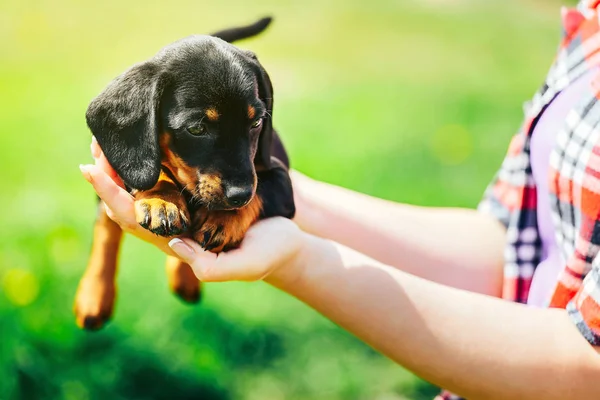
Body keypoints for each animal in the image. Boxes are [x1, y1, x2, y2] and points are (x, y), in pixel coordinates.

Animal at [75, 17, 296, 330]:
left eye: (256, 123)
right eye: (196, 128)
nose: (240, 195)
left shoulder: (282, 182)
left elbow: (262, 189)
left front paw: (224, 219)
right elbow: (154, 174)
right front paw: (162, 200)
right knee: (105, 226)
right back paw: (95, 296)